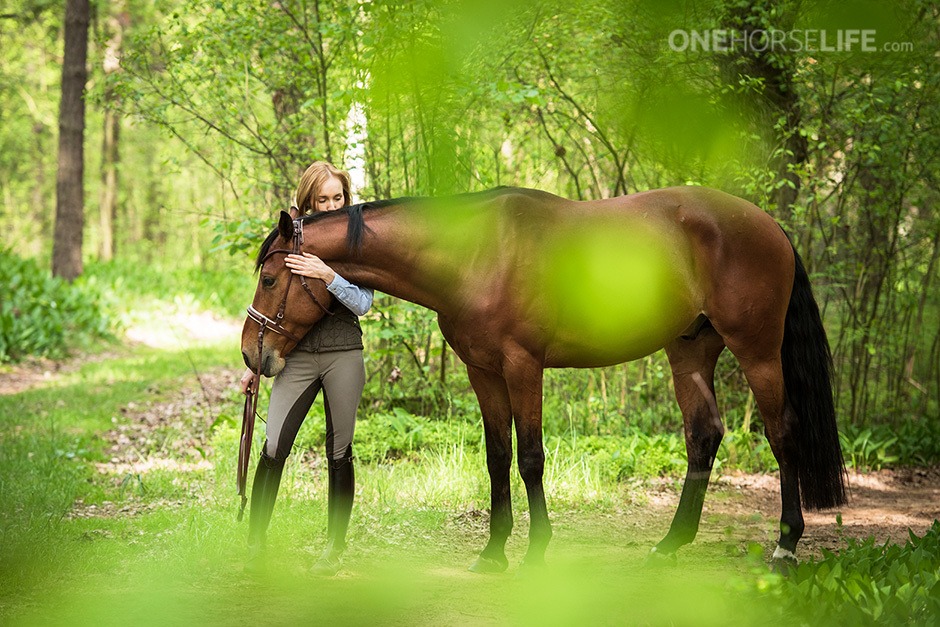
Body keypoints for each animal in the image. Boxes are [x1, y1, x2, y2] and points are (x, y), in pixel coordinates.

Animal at [241, 184, 844, 572]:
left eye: (269, 279)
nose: (253, 355)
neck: (473, 255)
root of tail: (769, 225)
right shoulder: (483, 371)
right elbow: (497, 456)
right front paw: (493, 552)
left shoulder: (523, 366)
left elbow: (530, 457)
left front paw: (535, 551)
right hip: (690, 351)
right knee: (703, 436)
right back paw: (671, 543)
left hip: (758, 351)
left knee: (783, 433)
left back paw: (786, 547)